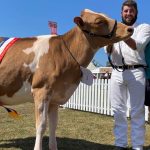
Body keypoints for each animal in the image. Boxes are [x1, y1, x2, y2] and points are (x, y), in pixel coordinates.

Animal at [0, 8, 134, 149]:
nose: (130, 29)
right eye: (99, 21)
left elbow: (53, 126)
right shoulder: (41, 90)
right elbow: (41, 126)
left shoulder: (55, 98)